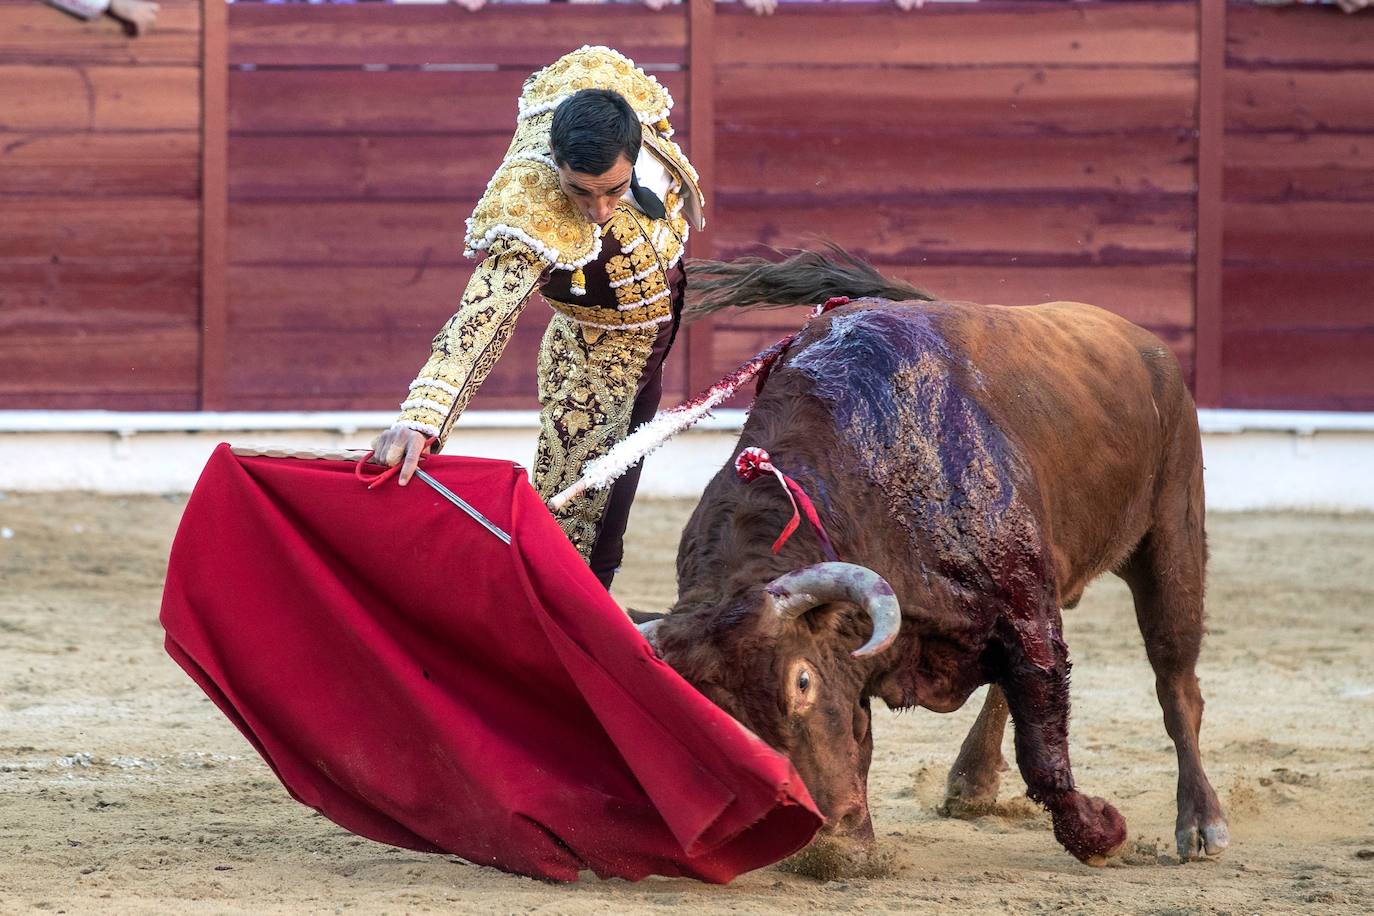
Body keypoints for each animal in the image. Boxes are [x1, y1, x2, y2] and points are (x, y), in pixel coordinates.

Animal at [637, 251, 1231, 873]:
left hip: (1172, 532)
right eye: (715, 715)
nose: (816, 828)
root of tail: (1146, 344)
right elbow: (865, 739)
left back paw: (1201, 822)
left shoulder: (1025, 609)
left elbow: (1043, 747)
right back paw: (971, 784)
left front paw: (1101, 832)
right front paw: (854, 846)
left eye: (802, 680)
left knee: (1175, 681)